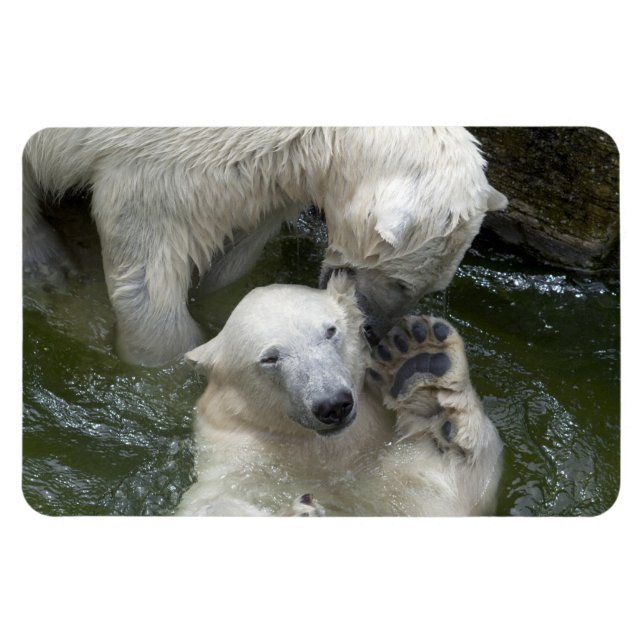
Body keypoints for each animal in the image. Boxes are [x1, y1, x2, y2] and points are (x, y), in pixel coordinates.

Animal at [23, 127, 507, 366]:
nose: (374, 332)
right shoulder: (160, 161)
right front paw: (167, 363)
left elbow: (238, 243)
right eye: (402, 283)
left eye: (430, 290)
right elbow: (145, 259)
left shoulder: (267, 171)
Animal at [176, 274, 503, 516]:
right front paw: (299, 512)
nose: (333, 404)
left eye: (330, 331)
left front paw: (423, 363)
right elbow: (208, 503)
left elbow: (448, 492)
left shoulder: (379, 459)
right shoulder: (238, 457)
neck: (327, 452)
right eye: (269, 358)